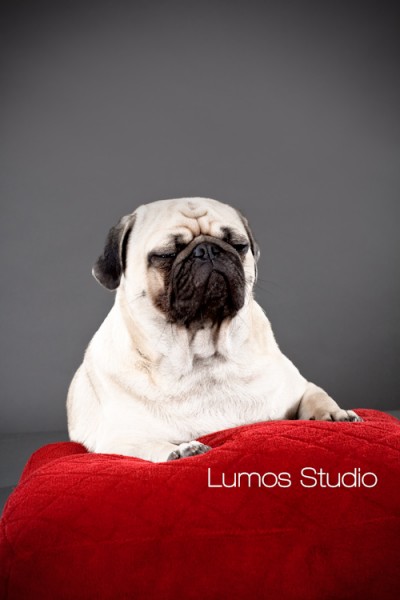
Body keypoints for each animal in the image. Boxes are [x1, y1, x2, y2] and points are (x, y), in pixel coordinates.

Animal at [66, 199, 362, 462]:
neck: (202, 355)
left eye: (239, 245)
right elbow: (151, 445)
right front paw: (181, 449)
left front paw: (334, 415)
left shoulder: (300, 389)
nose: (207, 250)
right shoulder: (119, 438)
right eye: (166, 254)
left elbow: (318, 396)